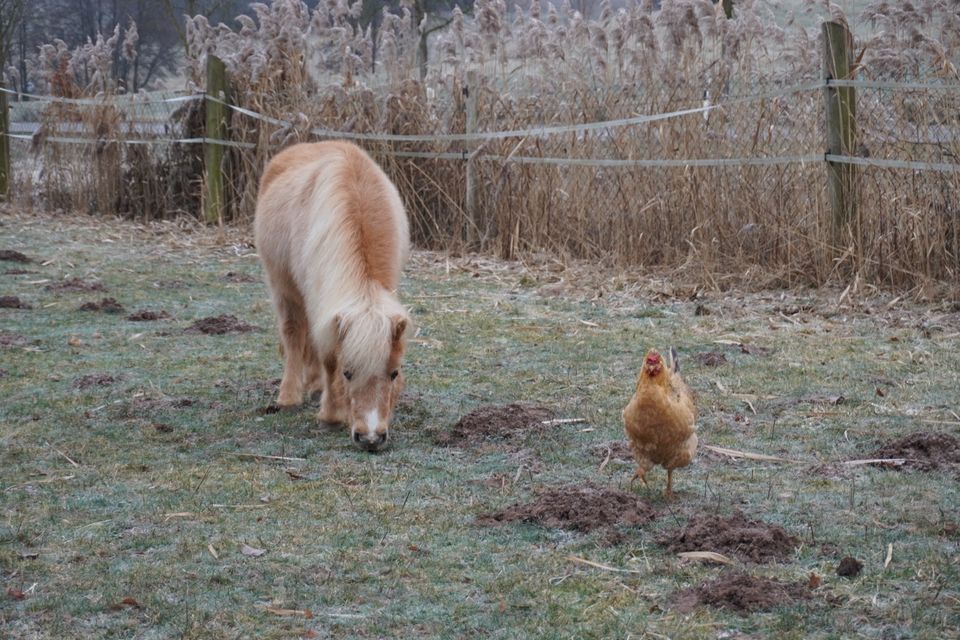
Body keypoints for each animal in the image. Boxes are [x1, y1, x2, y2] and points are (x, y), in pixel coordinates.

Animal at [253, 141, 410, 450]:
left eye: (394, 373)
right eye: (348, 373)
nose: (370, 438)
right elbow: (327, 357)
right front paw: (331, 416)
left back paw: (314, 386)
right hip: (284, 287)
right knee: (293, 334)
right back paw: (289, 396)